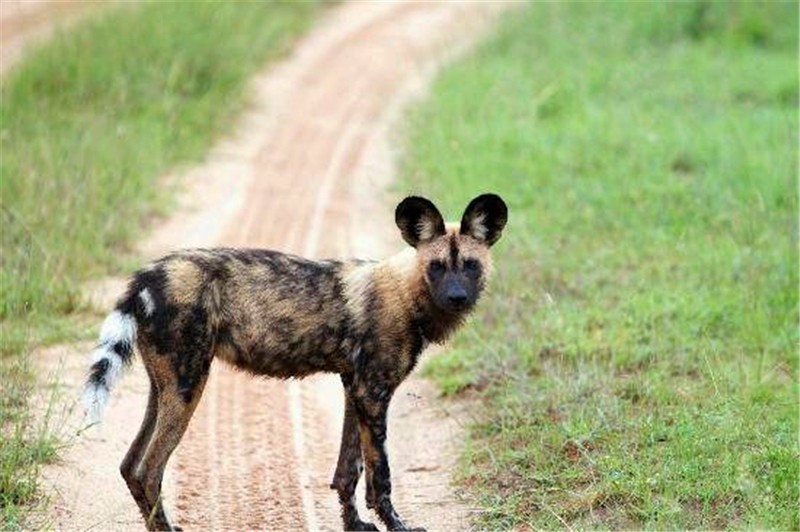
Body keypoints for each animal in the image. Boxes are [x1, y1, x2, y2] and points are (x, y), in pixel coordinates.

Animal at [83, 193, 506, 528]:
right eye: (437, 266)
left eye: (470, 265)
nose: (457, 297)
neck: (406, 294)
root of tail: (150, 275)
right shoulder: (373, 394)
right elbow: (379, 476)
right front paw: (396, 525)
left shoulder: (355, 389)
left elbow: (347, 471)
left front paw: (355, 525)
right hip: (188, 387)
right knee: (149, 469)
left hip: (166, 388)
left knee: (130, 466)